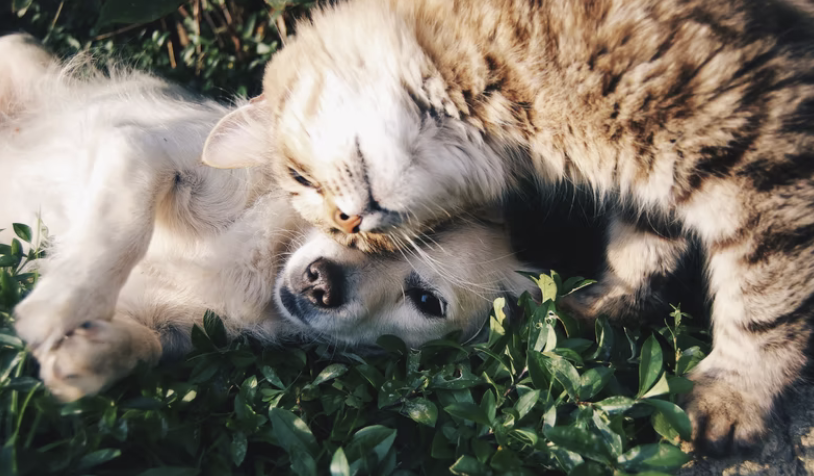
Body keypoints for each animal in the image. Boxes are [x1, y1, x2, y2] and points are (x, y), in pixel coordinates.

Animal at [1, 34, 540, 402]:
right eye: (347, 216)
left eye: (427, 301)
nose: (322, 282)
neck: (266, 262)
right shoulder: (143, 149)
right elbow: (122, 230)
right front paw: (61, 305)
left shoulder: (176, 326)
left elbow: (148, 346)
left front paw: (90, 355)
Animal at [201, 0, 814, 456]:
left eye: (301, 178)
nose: (350, 224)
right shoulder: (654, 174)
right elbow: (641, 246)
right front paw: (605, 303)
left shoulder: (762, 156)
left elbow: (764, 303)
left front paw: (734, 396)